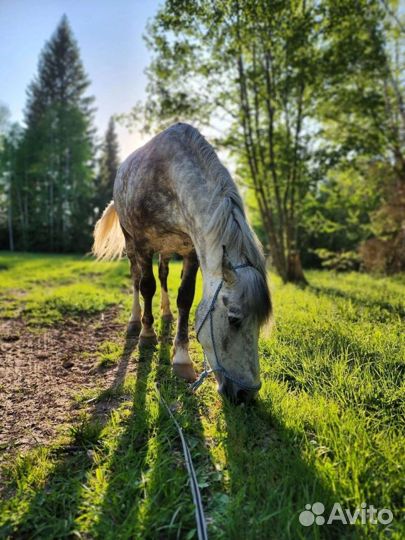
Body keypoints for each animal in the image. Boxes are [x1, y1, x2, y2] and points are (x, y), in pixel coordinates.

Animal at [93, 121, 272, 400]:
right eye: (234, 319)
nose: (245, 395)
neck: (168, 176)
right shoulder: (143, 245)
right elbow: (146, 287)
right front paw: (147, 334)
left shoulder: (191, 252)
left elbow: (185, 298)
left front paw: (182, 359)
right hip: (131, 243)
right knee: (136, 279)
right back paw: (135, 322)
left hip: (166, 250)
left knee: (164, 275)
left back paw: (166, 314)